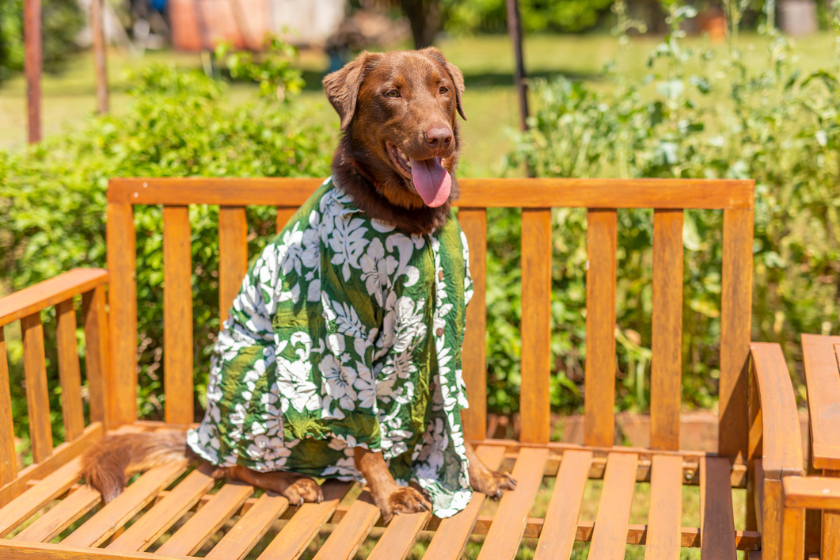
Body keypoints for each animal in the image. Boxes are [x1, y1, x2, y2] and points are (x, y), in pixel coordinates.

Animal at [82, 49, 516, 524]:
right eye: (391, 93)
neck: (408, 219)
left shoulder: (443, 333)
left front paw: (481, 475)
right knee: (231, 466)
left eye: (443, 90)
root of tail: (198, 437)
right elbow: (364, 434)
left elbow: (456, 418)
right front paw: (389, 492)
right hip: (264, 368)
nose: (440, 138)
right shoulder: (342, 337)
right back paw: (291, 482)